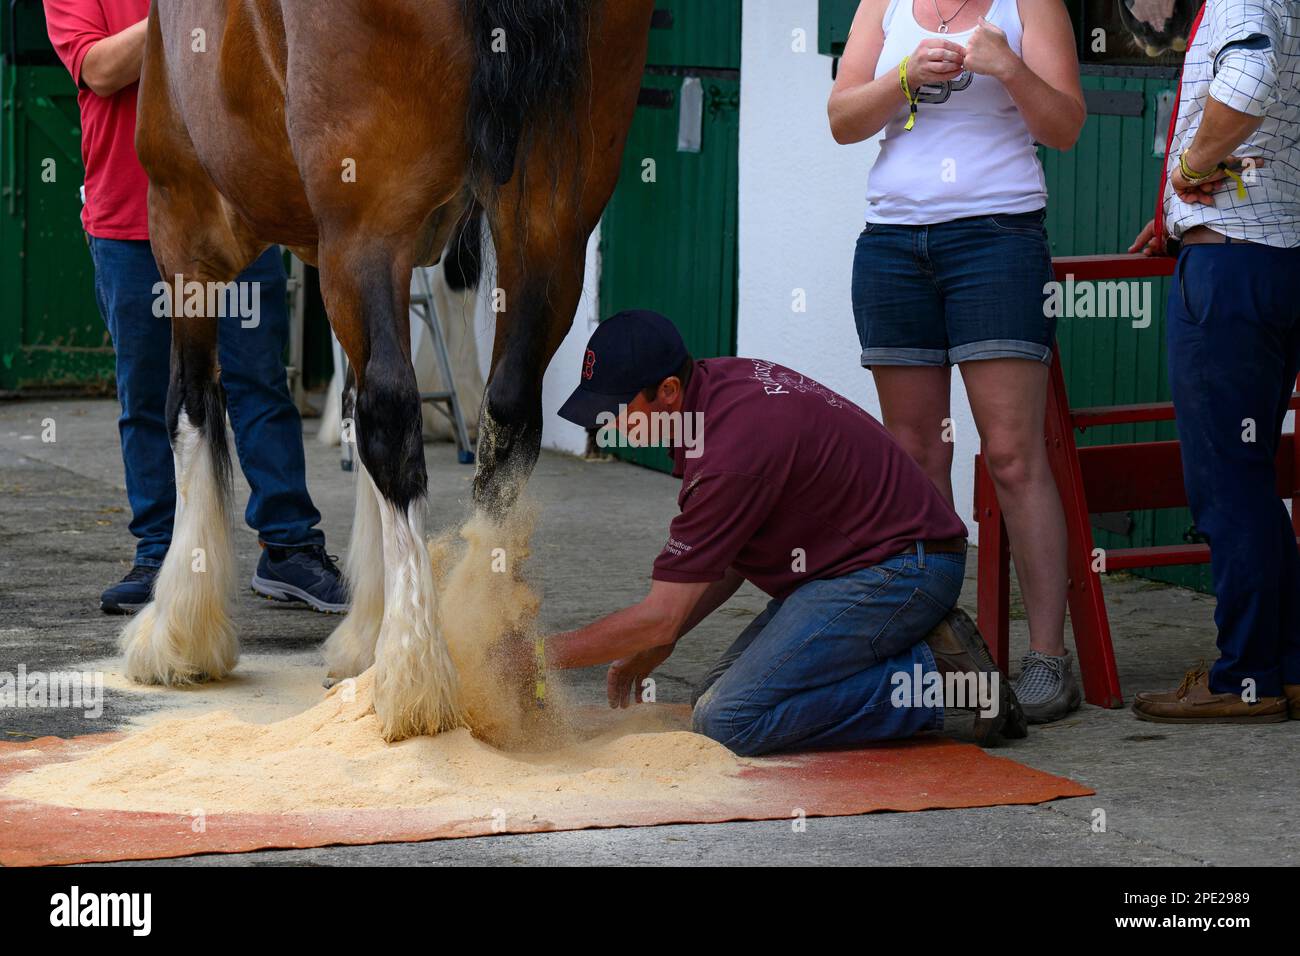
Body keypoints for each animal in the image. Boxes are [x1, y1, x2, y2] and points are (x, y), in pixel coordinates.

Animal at [118, 0, 655, 743]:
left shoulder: (185, 225)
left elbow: (191, 409)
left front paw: (179, 635)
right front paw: (364, 635)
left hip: (360, 227)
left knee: (391, 418)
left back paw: (414, 677)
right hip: (550, 223)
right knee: (508, 413)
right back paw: (484, 650)